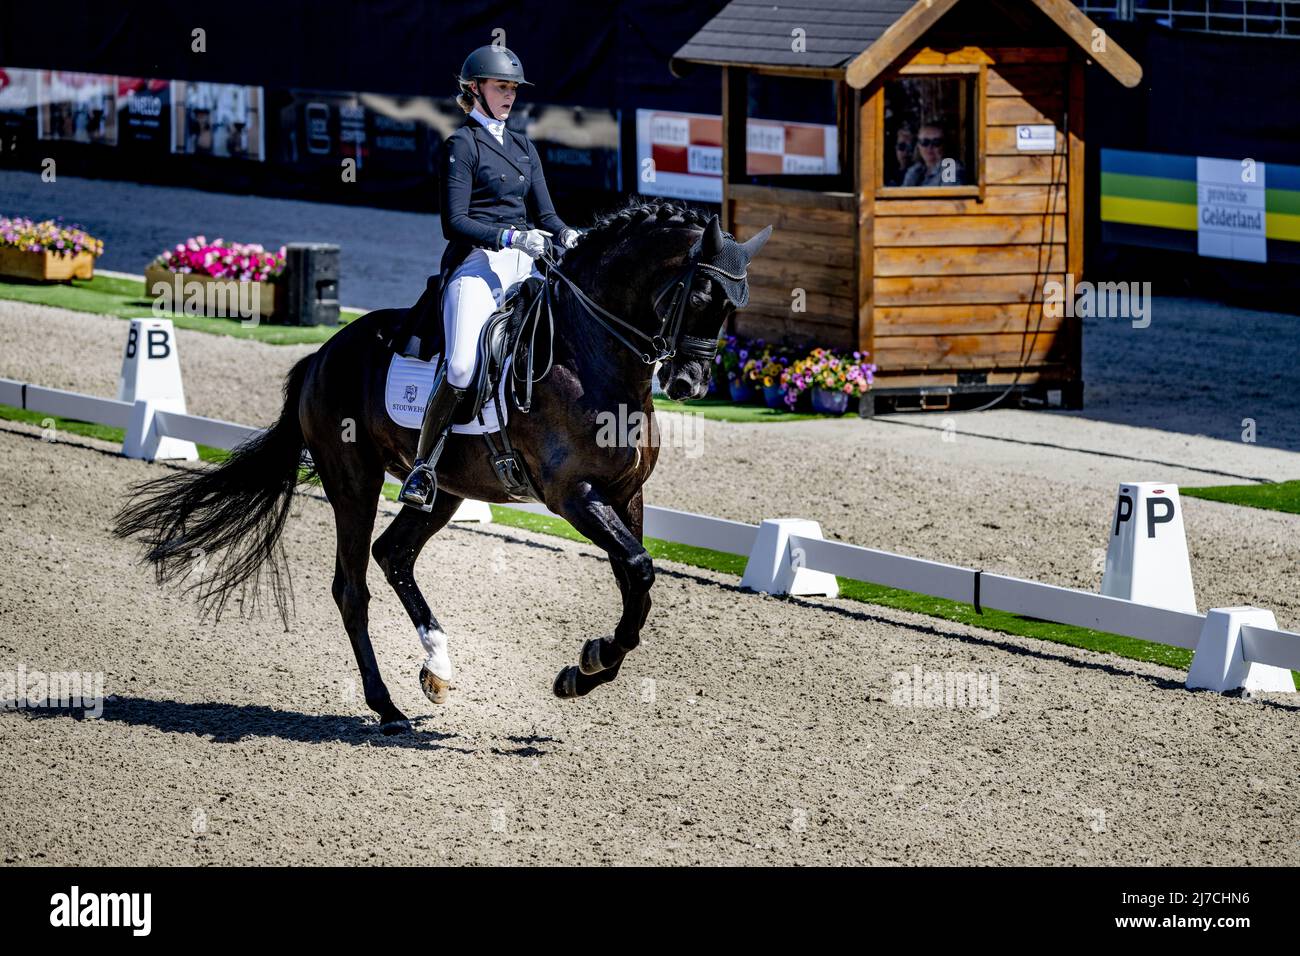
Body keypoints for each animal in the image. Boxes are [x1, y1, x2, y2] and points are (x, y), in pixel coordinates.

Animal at [114, 200, 769, 733]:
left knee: (394, 554)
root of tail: (323, 354)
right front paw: (590, 662)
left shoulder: (626, 492)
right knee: (352, 587)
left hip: (446, 489)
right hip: (354, 482)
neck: (591, 354)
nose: (689, 384)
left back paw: (438, 667)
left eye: (735, 306)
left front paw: (582, 672)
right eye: (700, 298)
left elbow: (638, 582)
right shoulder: (574, 494)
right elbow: (637, 568)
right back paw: (388, 709)